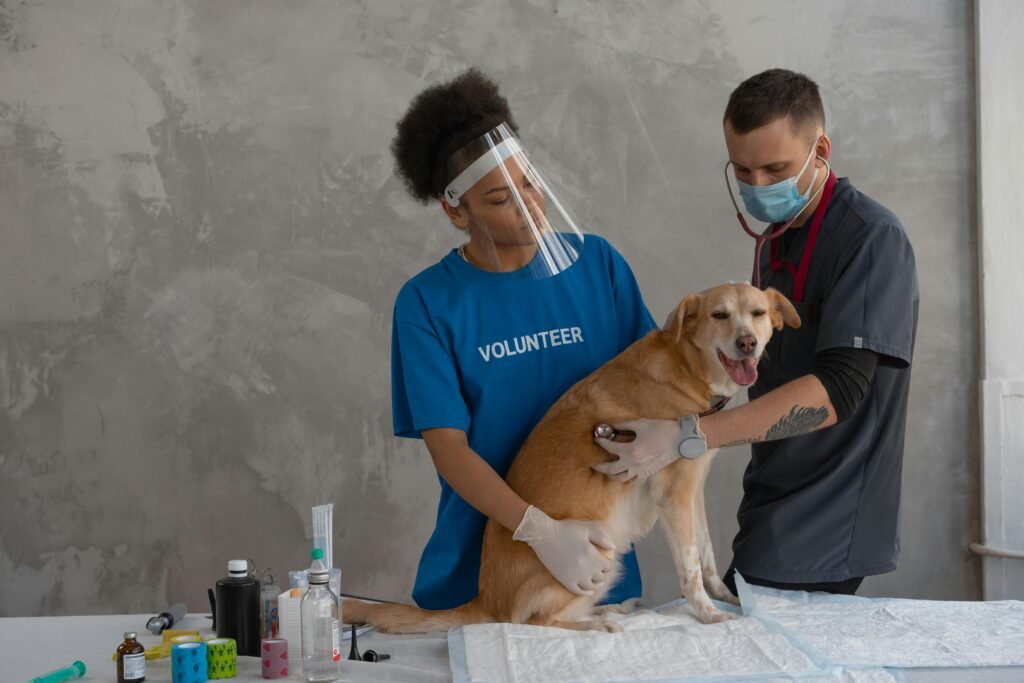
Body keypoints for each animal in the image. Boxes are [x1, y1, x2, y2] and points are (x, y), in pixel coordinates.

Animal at [344, 284, 798, 634]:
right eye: (720, 315)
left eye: (757, 314)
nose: (747, 343)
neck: (686, 367)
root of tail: (485, 602)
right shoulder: (674, 497)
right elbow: (689, 569)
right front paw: (707, 615)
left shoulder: (692, 493)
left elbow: (705, 555)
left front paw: (727, 598)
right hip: (596, 556)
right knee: (531, 623)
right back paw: (595, 623)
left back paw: (609, 608)